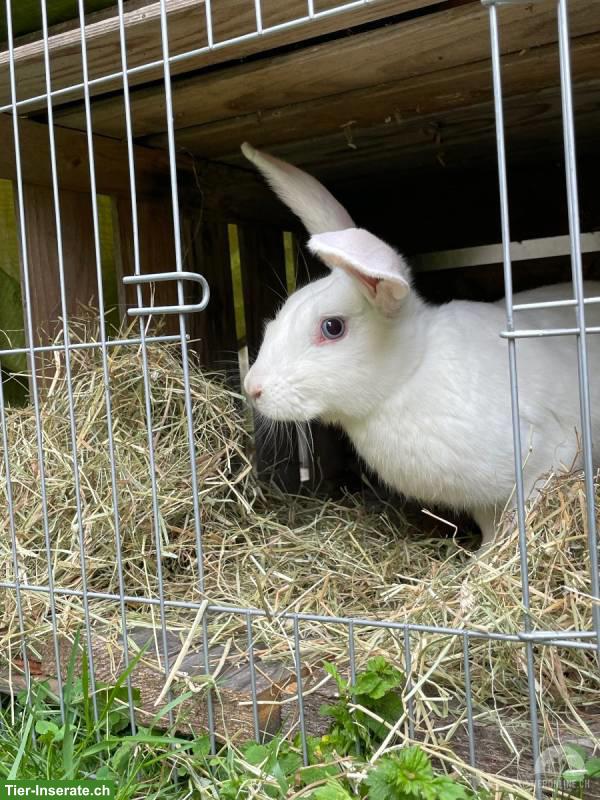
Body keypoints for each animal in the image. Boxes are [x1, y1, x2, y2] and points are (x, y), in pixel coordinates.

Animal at [240, 142, 600, 548]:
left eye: (332, 327)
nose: (252, 388)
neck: (409, 375)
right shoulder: (482, 503)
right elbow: (491, 528)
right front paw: (480, 557)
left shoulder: (547, 460)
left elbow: (519, 519)